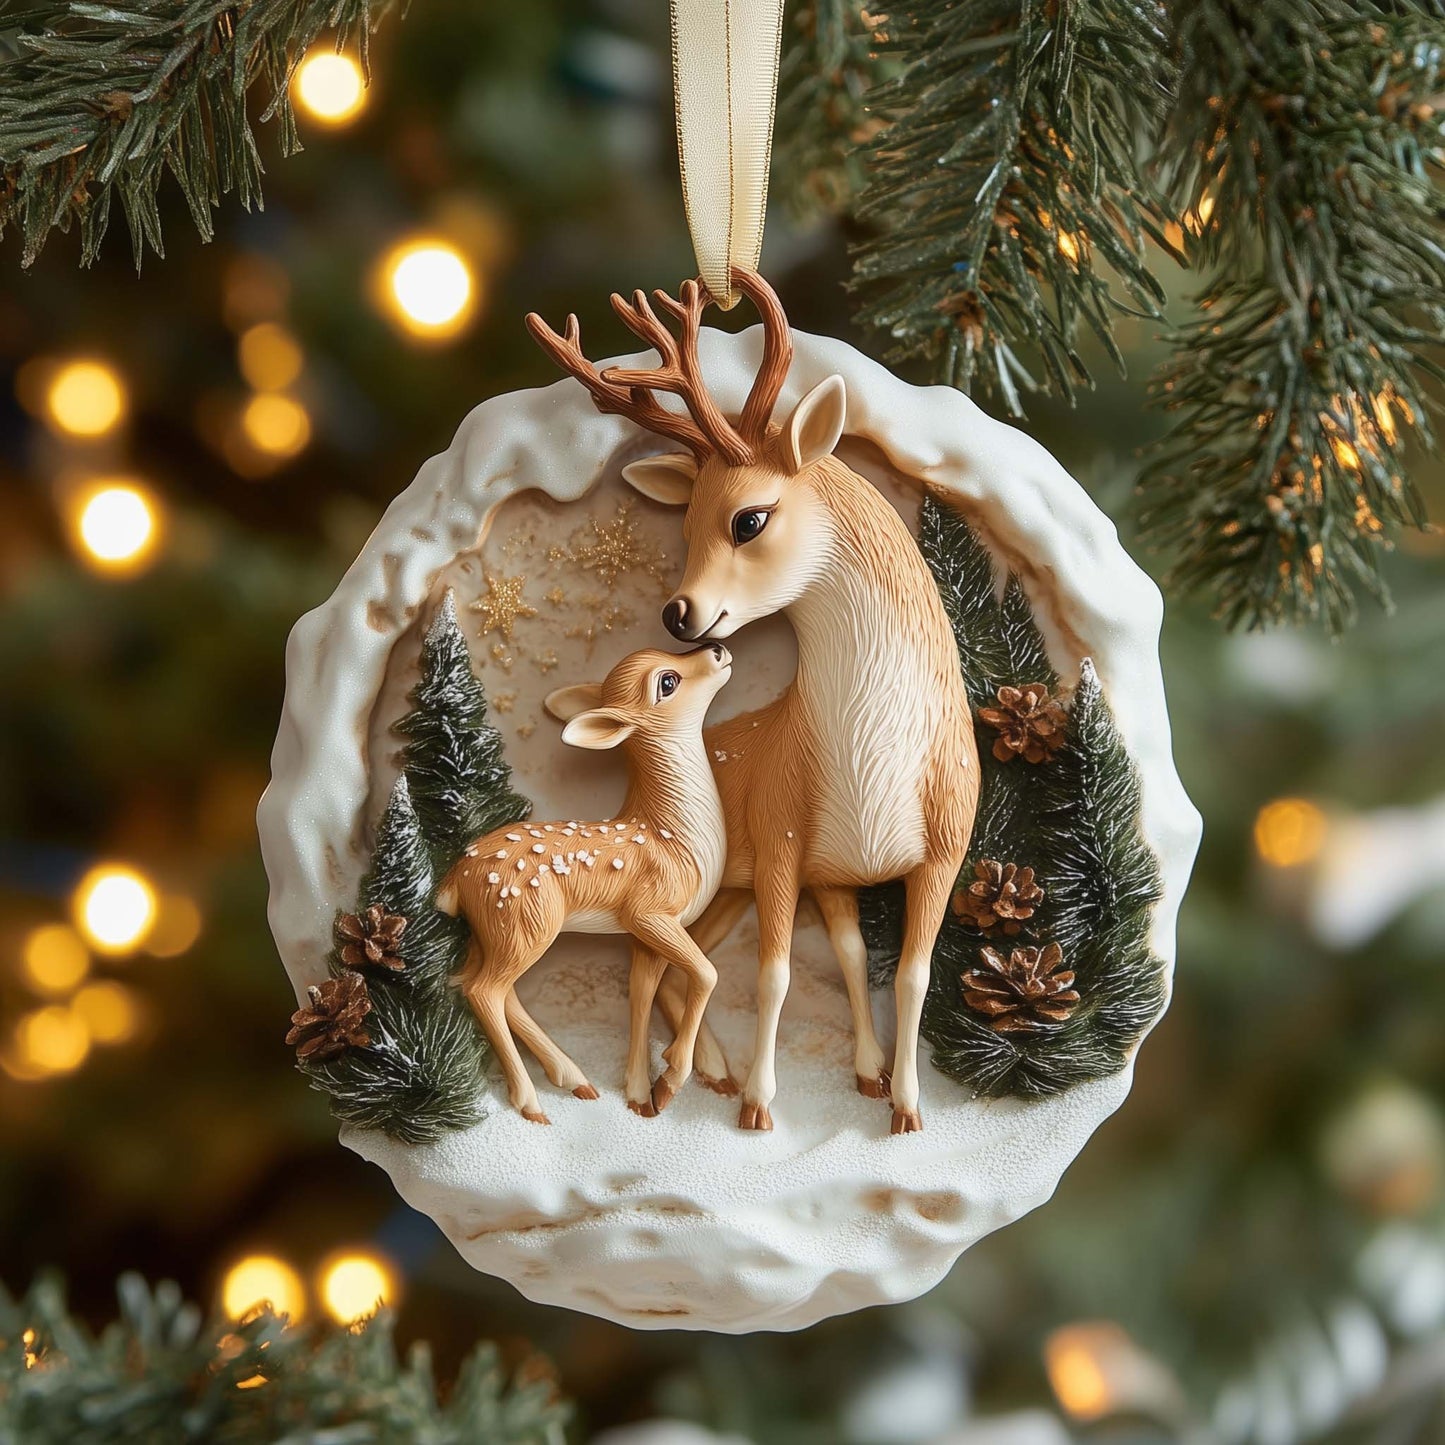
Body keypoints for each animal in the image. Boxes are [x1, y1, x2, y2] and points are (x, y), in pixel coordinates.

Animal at [436, 642, 733, 1122]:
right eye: (667, 681)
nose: (717, 648)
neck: (672, 833)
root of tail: (455, 881)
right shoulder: (649, 912)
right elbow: (707, 973)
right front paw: (671, 1078)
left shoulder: (644, 935)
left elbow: (640, 994)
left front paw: (640, 1095)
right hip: (526, 923)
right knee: (485, 992)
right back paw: (532, 1103)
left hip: (493, 932)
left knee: (483, 987)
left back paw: (573, 1078)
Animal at [527, 268, 980, 1135]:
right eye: (682, 528)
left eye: (747, 518)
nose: (678, 614)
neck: (871, 752)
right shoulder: (781, 840)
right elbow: (776, 974)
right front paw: (762, 1104)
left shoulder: (930, 850)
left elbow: (897, 970)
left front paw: (896, 1096)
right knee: (663, 966)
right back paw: (693, 1076)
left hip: (722, 889)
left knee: (688, 965)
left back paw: (709, 1068)